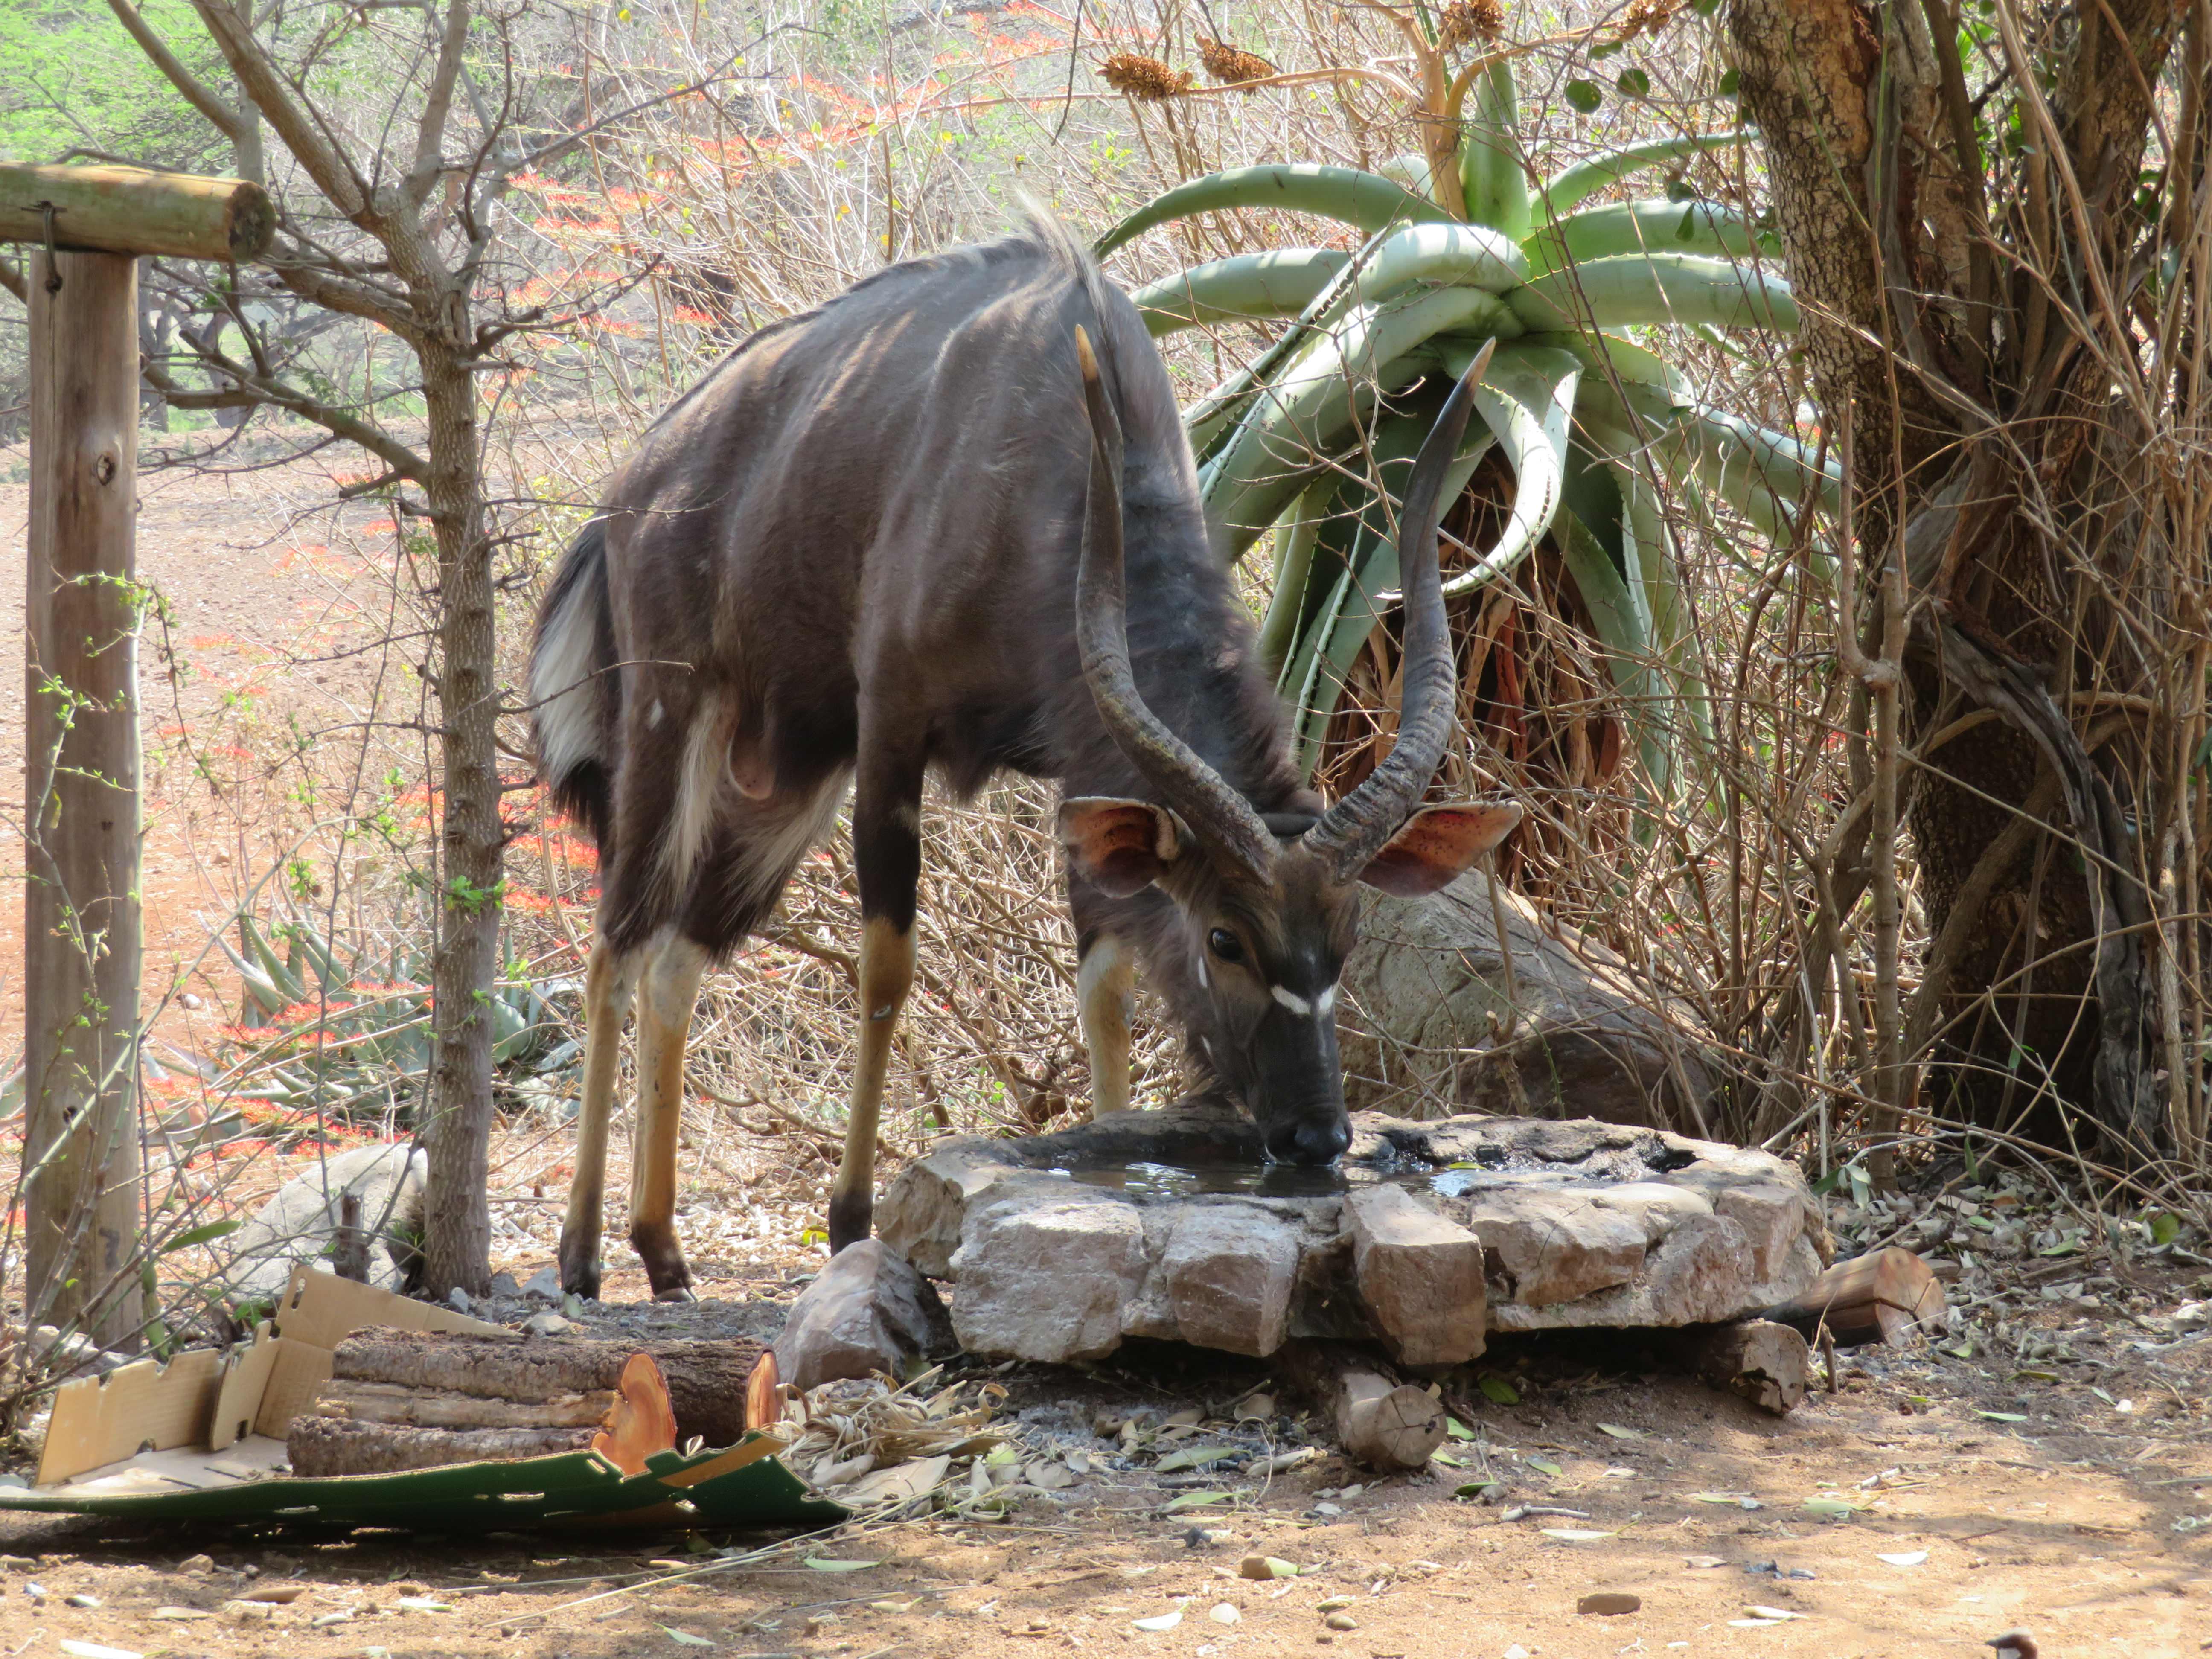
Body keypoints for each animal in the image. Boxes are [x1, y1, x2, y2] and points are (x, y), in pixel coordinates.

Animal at [529, 209, 1518, 1300]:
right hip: (675, 721)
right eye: (1224, 937)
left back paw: (662, 1249)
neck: (1056, 473)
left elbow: (1106, 985)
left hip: (785, 786)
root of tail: (629, 490)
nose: (1314, 1135)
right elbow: (888, 966)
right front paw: (851, 1218)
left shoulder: (1073, 764)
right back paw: (580, 1251)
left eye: (1345, 934)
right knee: (615, 945)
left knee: (675, 956)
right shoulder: (891, 730)